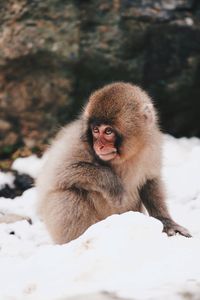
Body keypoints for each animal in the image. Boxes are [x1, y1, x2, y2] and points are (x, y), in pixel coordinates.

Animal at [36, 81, 191, 244]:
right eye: (95, 130)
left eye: (108, 131)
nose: (98, 146)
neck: (125, 156)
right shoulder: (77, 143)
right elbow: (56, 173)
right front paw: (112, 184)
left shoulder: (152, 146)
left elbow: (149, 180)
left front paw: (167, 222)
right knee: (68, 193)